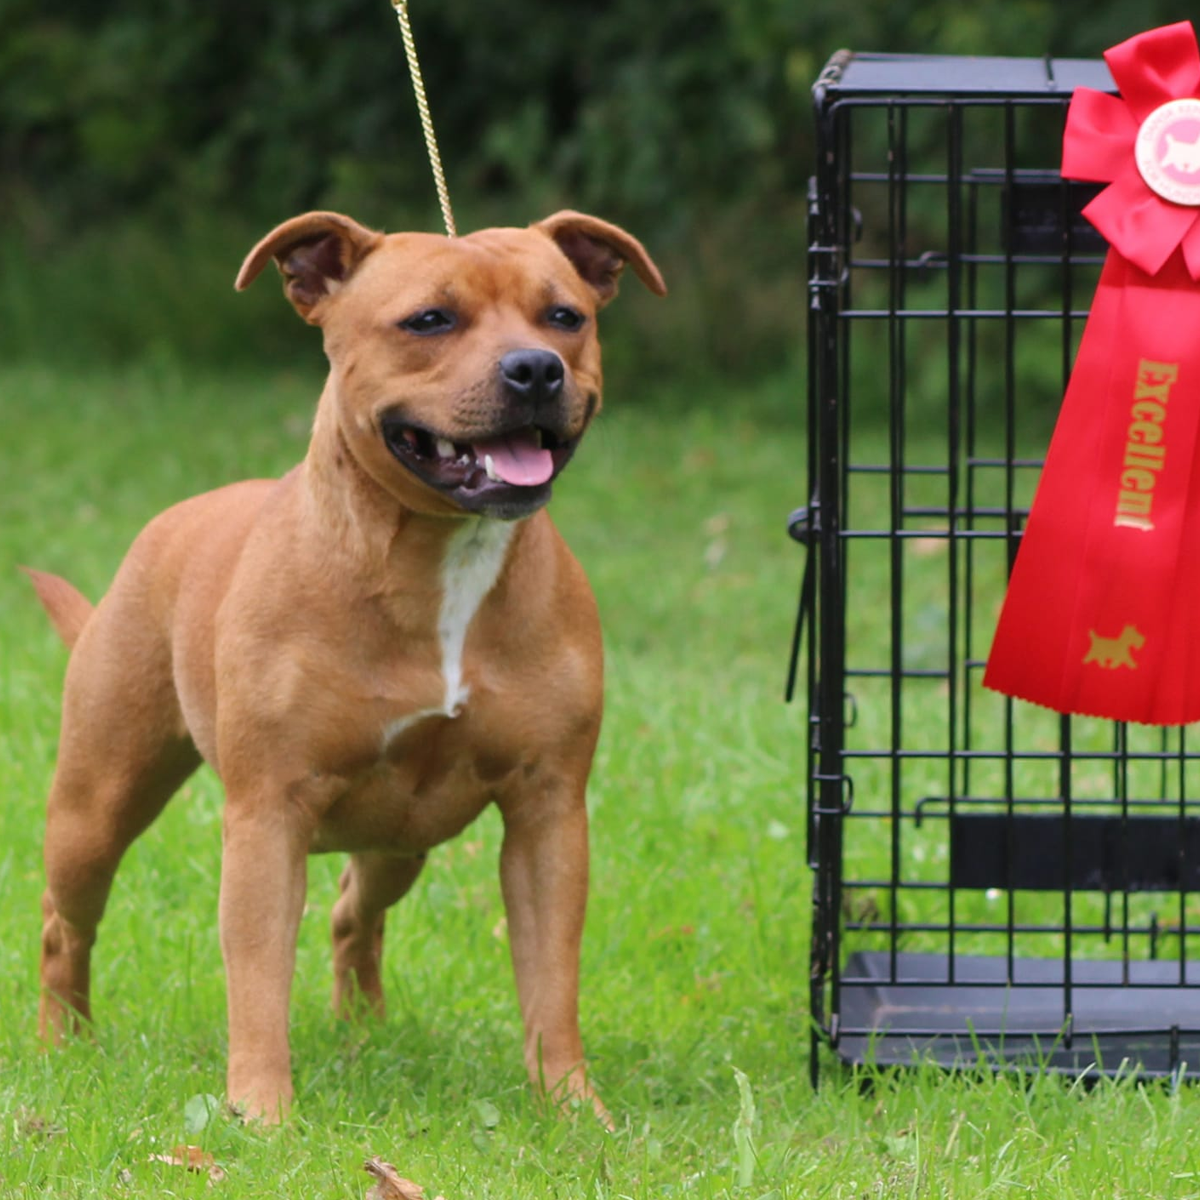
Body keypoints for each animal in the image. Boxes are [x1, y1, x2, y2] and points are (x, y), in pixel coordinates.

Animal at [28, 208, 667, 1123]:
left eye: (565, 316)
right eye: (429, 320)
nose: (536, 368)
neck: (442, 553)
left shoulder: (548, 813)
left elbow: (551, 979)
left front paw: (573, 1108)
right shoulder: (267, 817)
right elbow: (256, 977)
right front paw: (262, 1113)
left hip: (405, 836)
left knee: (351, 914)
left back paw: (362, 1032)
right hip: (96, 805)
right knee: (66, 921)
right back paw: (64, 1042)